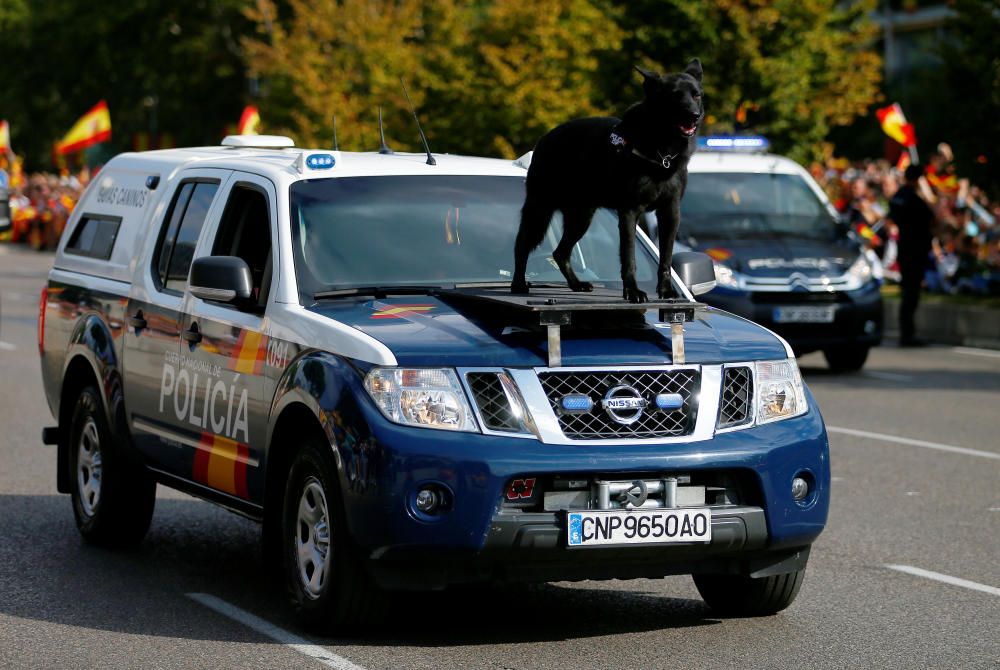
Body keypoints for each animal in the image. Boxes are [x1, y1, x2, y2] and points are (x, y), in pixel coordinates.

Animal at [512, 59, 708, 304]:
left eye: (696, 95)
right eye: (675, 96)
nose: (694, 115)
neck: (661, 151)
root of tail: (544, 138)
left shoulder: (670, 213)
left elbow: (666, 258)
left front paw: (665, 291)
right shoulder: (630, 212)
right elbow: (629, 257)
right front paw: (632, 291)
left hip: (581, 218)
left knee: (560, 252)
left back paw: (576, 284)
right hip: (540, 211)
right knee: (522, 246)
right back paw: (518, 284)